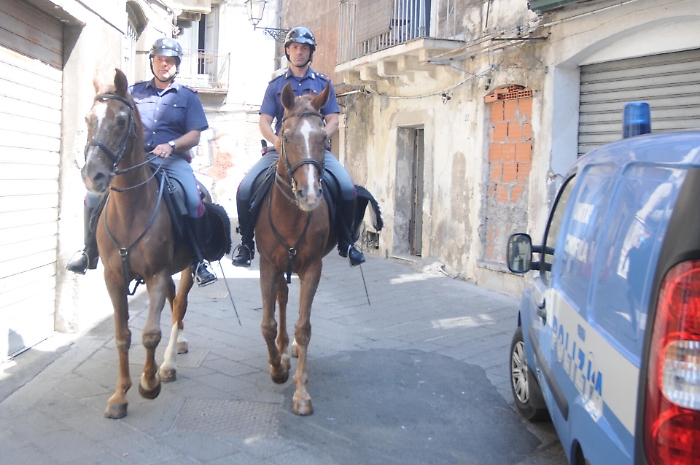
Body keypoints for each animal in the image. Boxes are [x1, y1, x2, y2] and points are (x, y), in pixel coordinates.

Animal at [81, 69, 196, 419]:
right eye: (89, 118)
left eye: (121, 119)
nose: (93, 175)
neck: (130, 209)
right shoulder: (114, 278)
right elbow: (122, 336)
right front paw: (120, 395)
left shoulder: (155, 274)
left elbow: (150, 334)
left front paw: (149, 383)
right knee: (174, 303)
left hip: (187, 267)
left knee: (179, 305)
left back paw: (168, 364)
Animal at [254, 82, 381, 415]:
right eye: (286, 137)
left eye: (324, 139)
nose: (310, 195)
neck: (291, 214)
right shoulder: (267, 265)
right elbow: (268, 324)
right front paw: (277, 367)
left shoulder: (312, 267)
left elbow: (304, 326)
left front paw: (301, 393)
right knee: (282, 299)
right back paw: (282, 351)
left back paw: (292, 349)